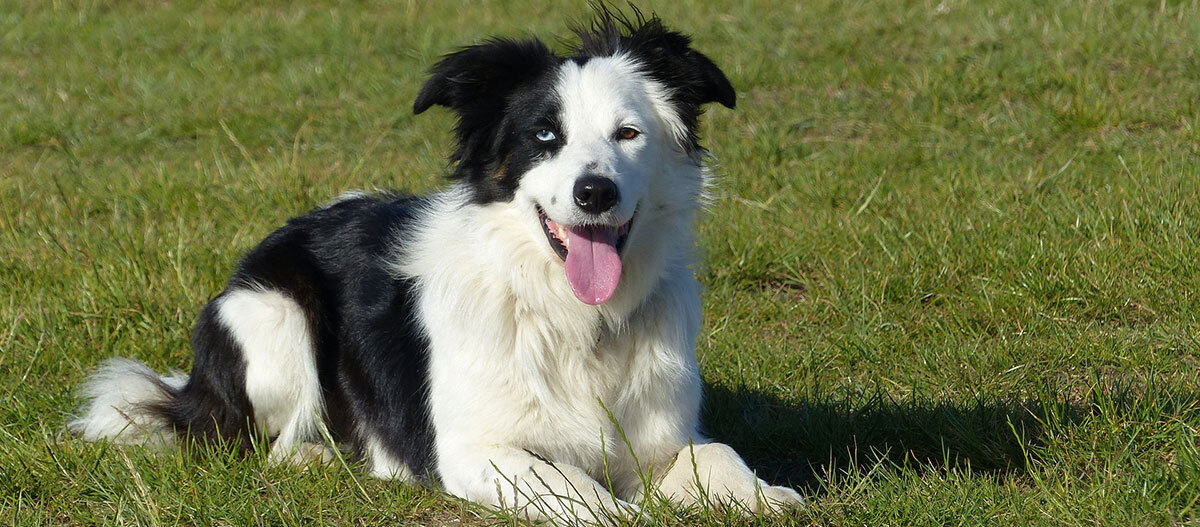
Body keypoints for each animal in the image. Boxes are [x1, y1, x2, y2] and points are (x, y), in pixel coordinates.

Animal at [72, 7, 806, 523]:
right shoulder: (474, 449)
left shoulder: (655, 438)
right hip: (270, 315)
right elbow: (576, 486)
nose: (594, 193)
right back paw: (318, 454)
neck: (570, 320)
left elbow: (715, 452)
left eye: (629, 133)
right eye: (544, 135)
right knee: (256, 437)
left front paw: (764, 494)